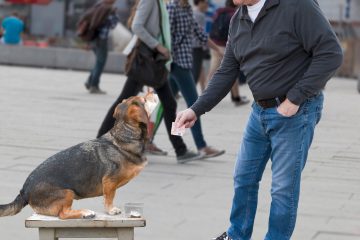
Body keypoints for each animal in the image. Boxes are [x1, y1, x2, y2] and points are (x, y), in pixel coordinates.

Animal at [0, 93, 157, 219]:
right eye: (144, 99)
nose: (153, 92)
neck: (125, 136)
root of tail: (24, 190)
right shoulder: (109, 182)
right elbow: (109, 197)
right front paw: (111, 210)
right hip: (67, 193)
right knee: (63, 214)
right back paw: (85, 212)